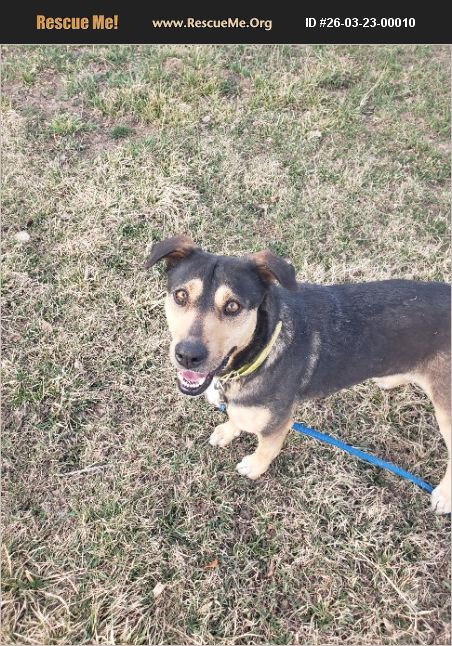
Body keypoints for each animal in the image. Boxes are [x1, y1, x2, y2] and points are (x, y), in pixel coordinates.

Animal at [147, 235, 451, 514]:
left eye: (233, 306)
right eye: (181, 296)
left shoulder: (279, 421)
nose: (188, 355)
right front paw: (227, 431)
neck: (261, 345)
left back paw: (444, 497)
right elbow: (236, 415)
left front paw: (255, 467)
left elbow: (267, 448)